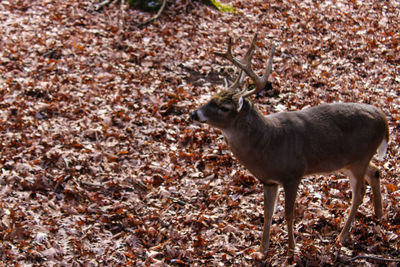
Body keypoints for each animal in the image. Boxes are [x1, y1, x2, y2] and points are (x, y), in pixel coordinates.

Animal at [191, 34, 388, 254]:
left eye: (224, 107)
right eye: (212, 97)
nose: (194, 113)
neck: (268, 142)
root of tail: (383, 118)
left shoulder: (293, 173)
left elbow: (288, 213)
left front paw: (291, 251)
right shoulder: (268, 180)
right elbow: (267, 213)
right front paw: (261, 250)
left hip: (359, 159)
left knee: (359, 193)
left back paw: (343, 236)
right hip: (351, 161)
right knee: (375, 170)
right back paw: (379, 214)